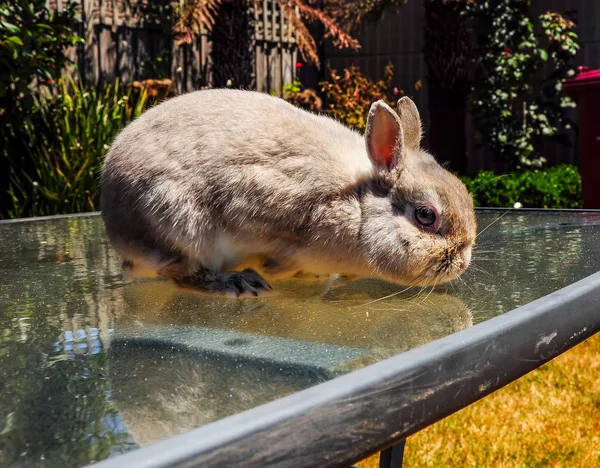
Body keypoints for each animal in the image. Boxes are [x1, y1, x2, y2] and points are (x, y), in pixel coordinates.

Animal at [102, 88, 478, 296]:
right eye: (426, 215)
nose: (462, 263)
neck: (357, 204)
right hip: (180, 224)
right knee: (182, 275)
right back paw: (240, 285)